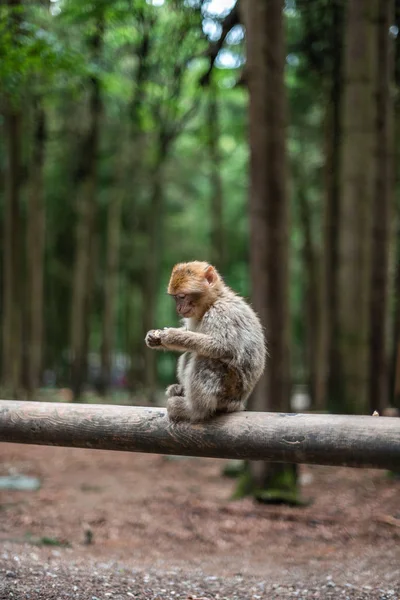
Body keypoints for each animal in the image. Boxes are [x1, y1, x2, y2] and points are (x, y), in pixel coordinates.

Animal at [144, 262, 266, 422]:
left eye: (182, 296)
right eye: (176, 298)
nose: (178, 308)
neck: (213, 301)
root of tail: (239, 403)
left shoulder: (221, 312)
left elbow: (223, 347)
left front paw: (171, 336)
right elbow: (189, 331)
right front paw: (154, 337)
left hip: (230, 389)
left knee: (205, 358)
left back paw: (194, 410)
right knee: (190, 353)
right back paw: (181, 391)